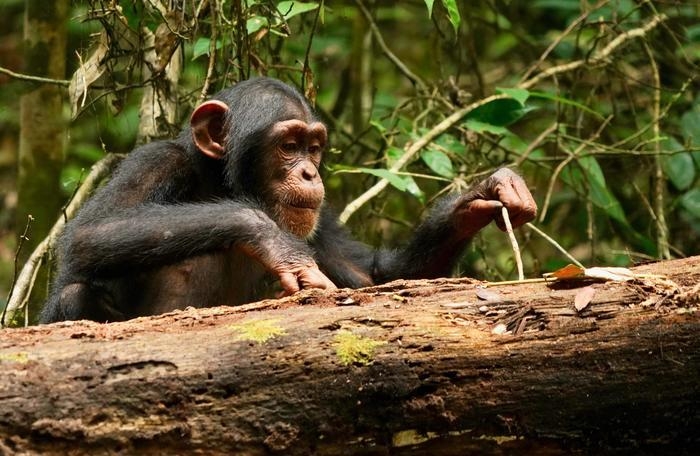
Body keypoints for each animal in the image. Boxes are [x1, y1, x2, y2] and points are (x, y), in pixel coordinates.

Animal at [39, 76, 536, 322]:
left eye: (314, 147)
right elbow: (89, 235)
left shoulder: (323, 217)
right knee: (78, 291)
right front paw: (275, 243)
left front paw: (483, 196)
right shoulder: (155, 162)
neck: (225, 185)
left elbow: (378, 276)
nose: (309, 172)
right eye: (288, 145)